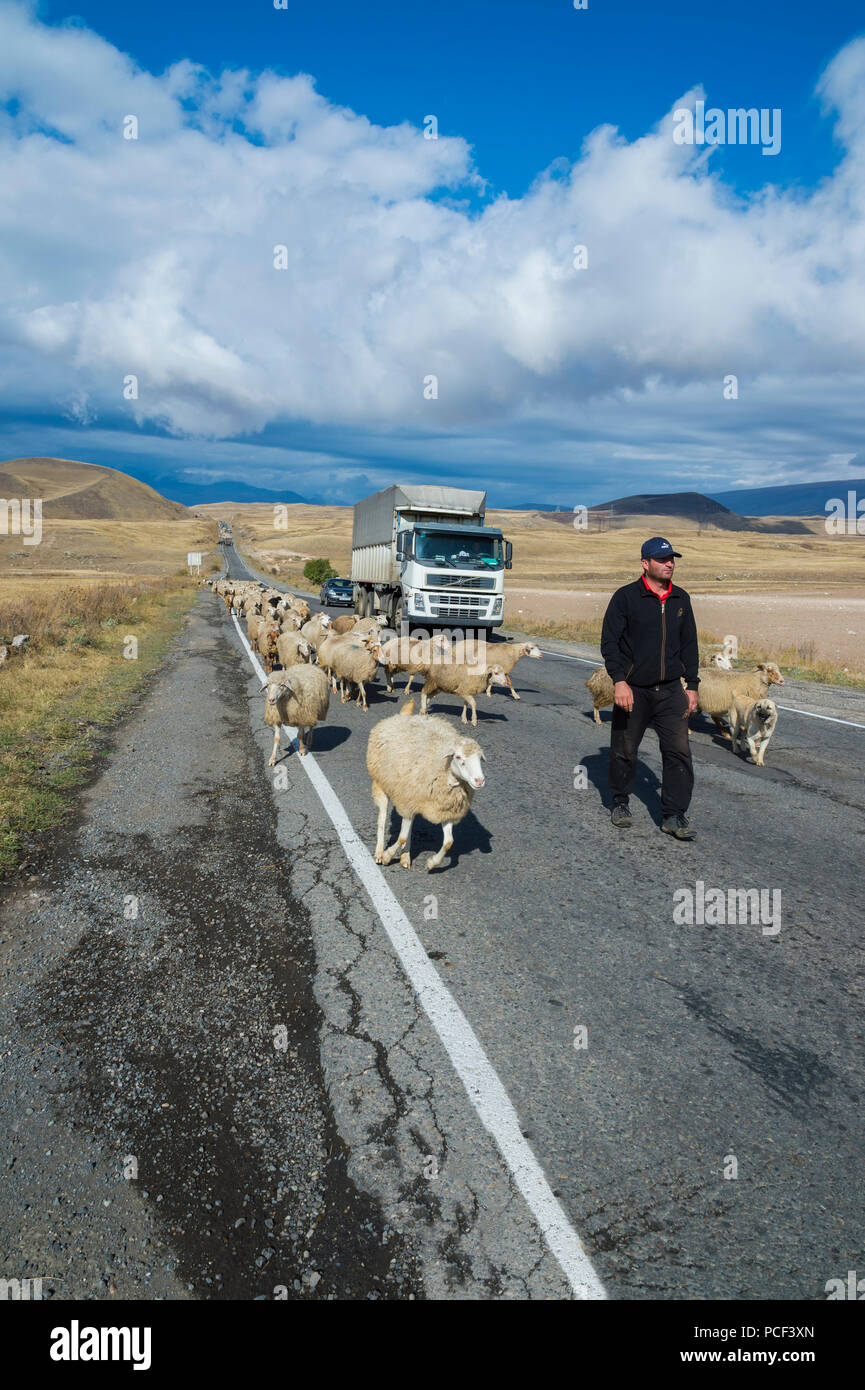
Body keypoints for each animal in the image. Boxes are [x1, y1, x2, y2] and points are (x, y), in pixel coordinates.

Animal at [367, 695, 489, 867]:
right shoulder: (407, 803)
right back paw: (379, 852)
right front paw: (386, 856)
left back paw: (405, 856)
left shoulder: (445, 810)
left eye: (480, 758)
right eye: (458, 757)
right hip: (381, 784)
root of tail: (402, 716)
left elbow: (449, 842)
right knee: (382, 819)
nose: (479, 781)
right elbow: (401, 837)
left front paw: (432, 863)